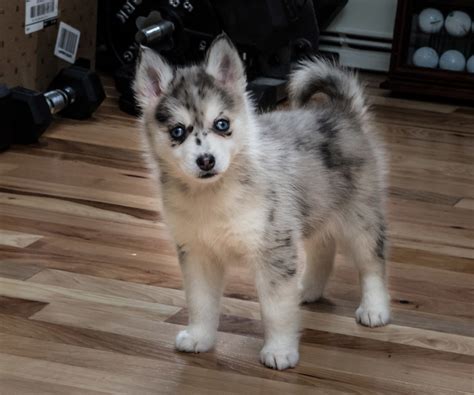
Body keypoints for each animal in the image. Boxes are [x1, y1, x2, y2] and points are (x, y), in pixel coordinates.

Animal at [132, 34, 388, 372]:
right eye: (178, 131)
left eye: (222, 124)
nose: (206, 160)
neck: (214, 194)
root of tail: (341, 112)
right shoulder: (197, 253)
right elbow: (200, 302)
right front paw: (200, 337)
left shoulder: (274, 249)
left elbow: (275, 309)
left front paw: (279, 351)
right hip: (314, 211)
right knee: (323, 249)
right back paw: (307, 290)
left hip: (359, 216)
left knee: (372, 262)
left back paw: (375, 308)